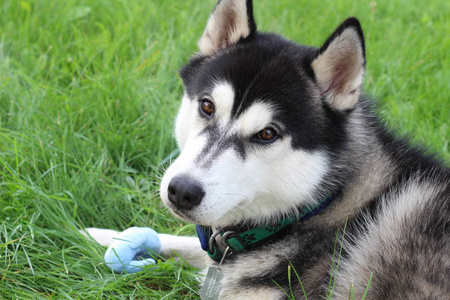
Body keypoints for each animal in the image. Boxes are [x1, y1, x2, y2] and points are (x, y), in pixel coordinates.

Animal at [85, 0, 450, 298]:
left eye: (267, 134)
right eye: (207, 106)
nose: (182, 191)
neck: (317, 207)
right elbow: (188, 245)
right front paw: (102, 235)